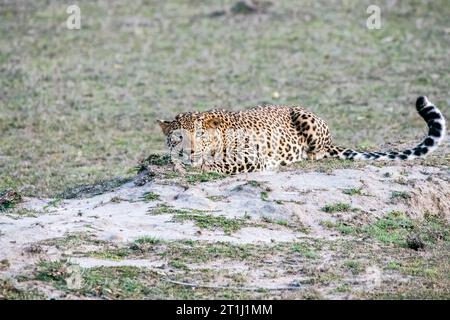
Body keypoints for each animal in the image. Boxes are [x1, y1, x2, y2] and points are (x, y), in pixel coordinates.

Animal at [156, 96, 444, 174]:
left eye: (200, 134)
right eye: (179, 137)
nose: (190, 151)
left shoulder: (253, 157)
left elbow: (221, 163)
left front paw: (201, 164)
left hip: (307, 120)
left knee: (320, 151)